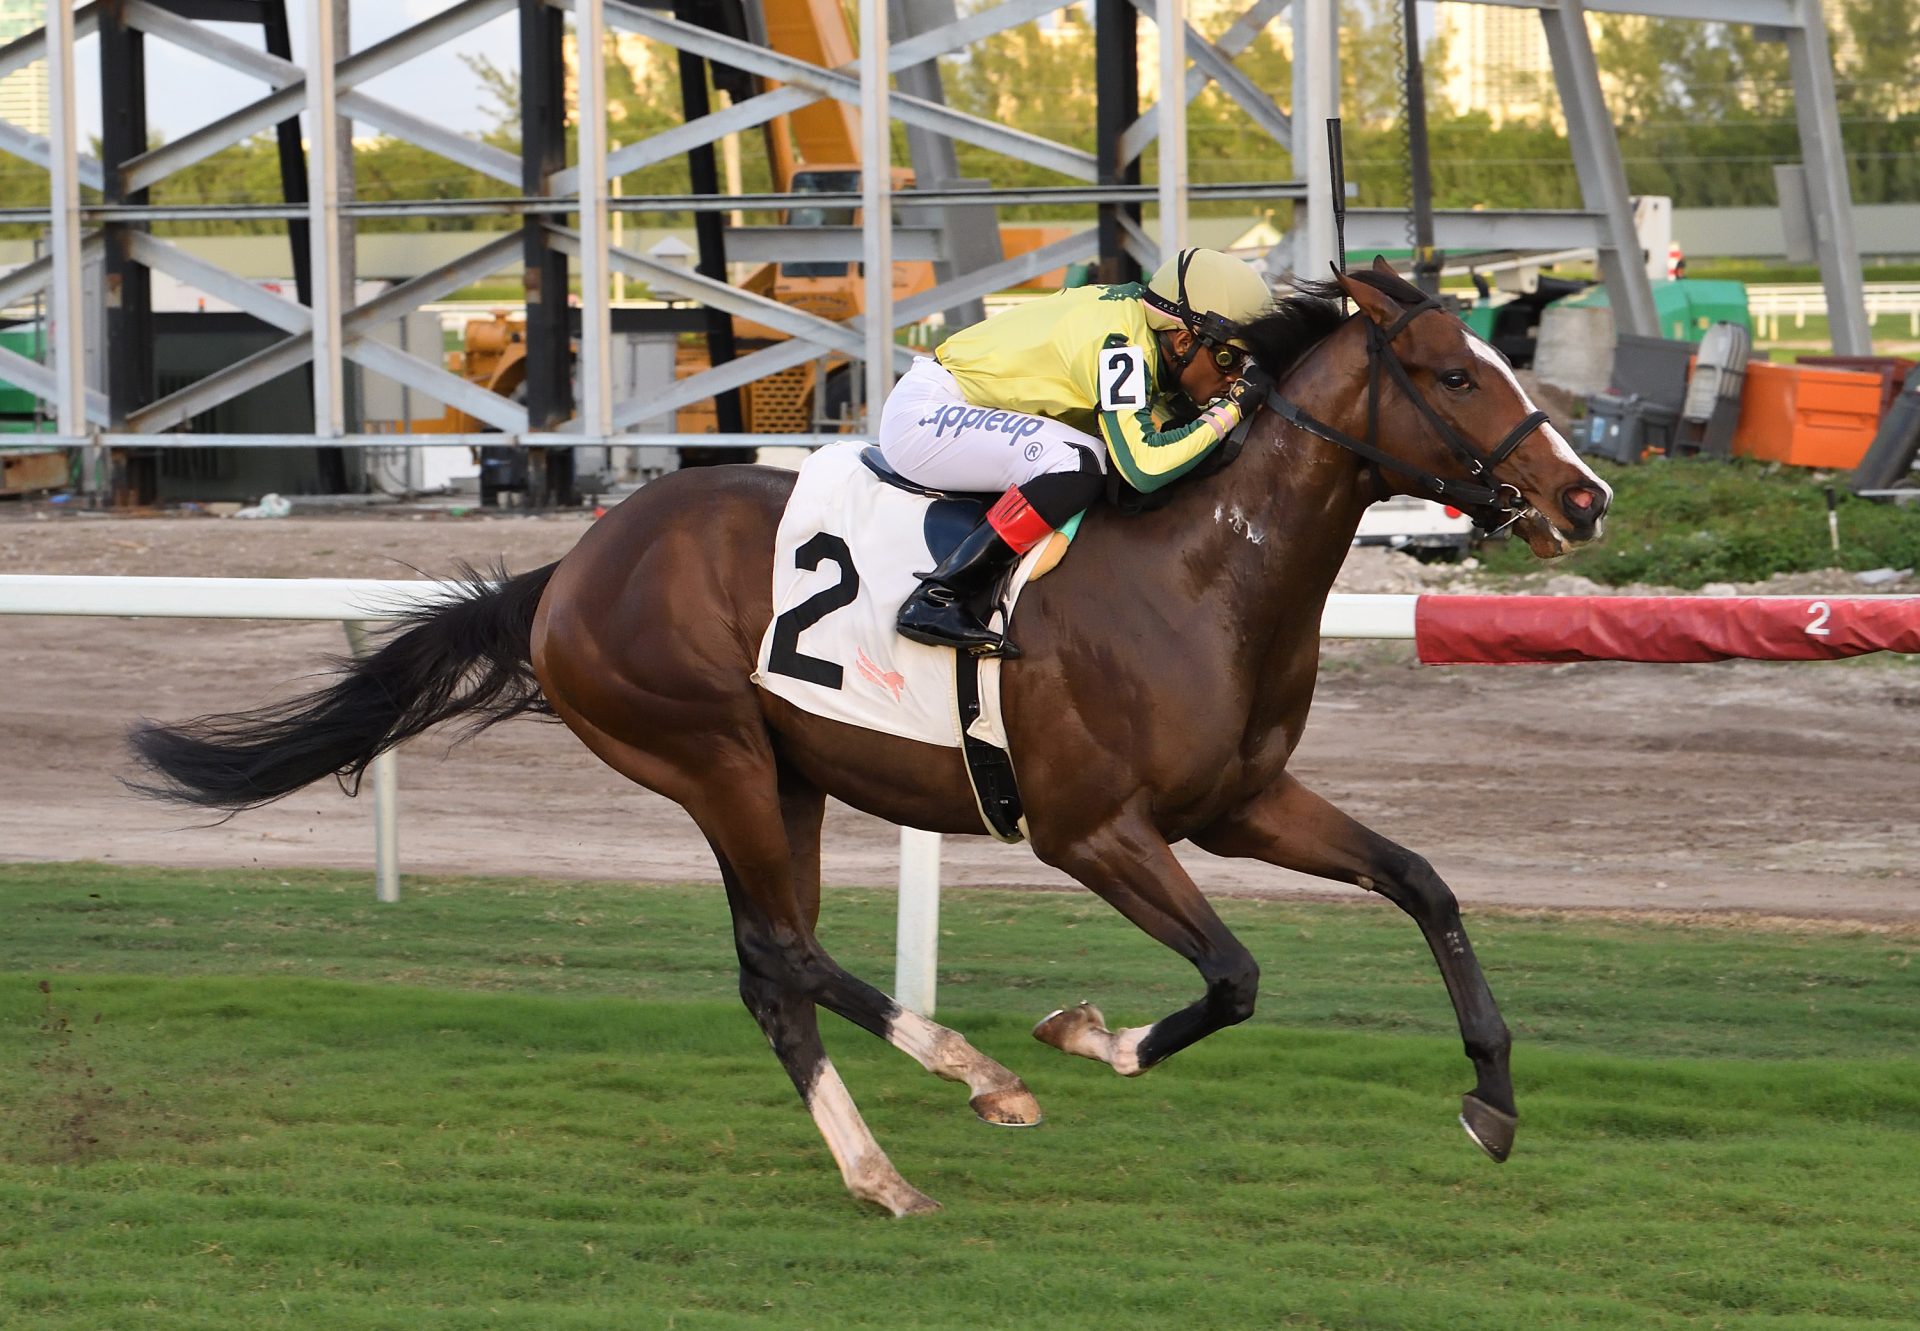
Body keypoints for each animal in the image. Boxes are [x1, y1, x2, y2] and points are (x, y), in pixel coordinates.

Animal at [127, 259, 1612, 1213]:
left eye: (1508, 359)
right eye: (1449, 373)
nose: (1585, 495)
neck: (1204, 571)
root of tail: (568, 569)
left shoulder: (1240, 802)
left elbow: (1423, 881)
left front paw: (1494, 1097)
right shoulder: (1093, 831)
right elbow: (1237, 973)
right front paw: (1084, 1034)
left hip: (787, 777)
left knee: (770, 969)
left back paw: (876, 1166)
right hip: (712, 755)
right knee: (785, 951)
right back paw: (979, 1079)